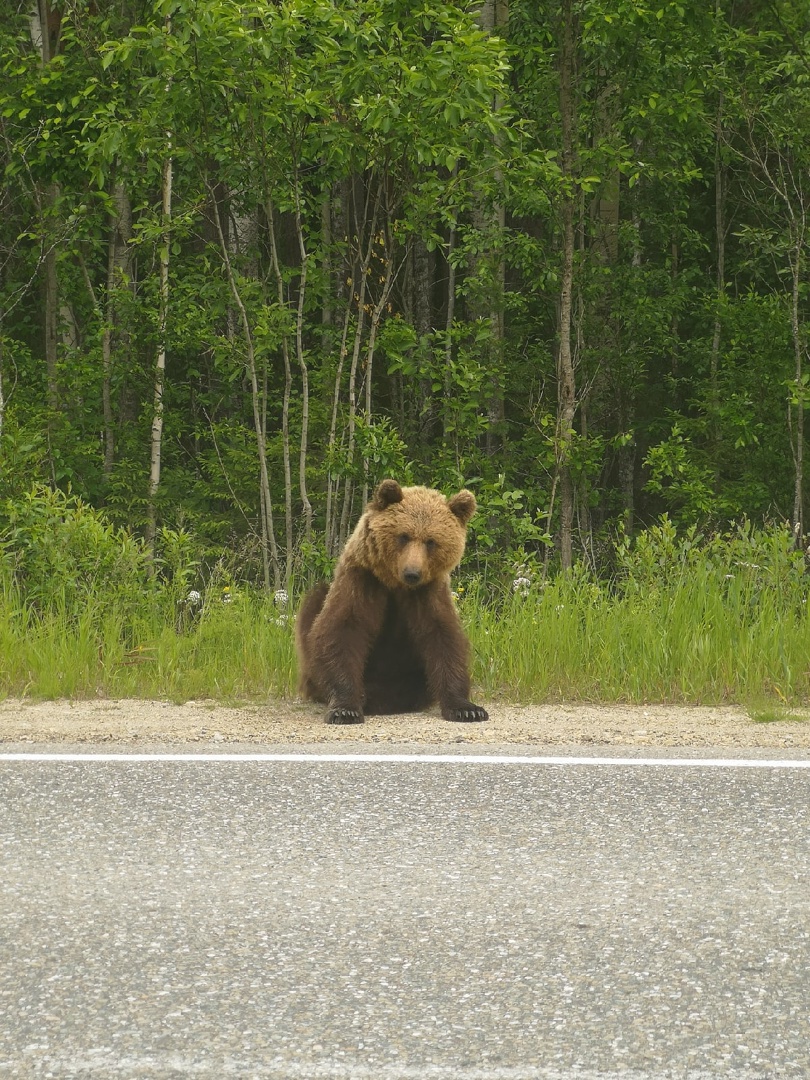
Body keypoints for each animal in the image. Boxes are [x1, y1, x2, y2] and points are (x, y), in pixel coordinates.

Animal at [295, 481, 488, 725]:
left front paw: (467, 709)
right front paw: (345, 709)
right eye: (404, 536)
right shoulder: (363, 580)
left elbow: (443, 636)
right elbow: (342, 629)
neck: (394, 584)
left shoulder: (427, 592)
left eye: (431, 541)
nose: (412, 573)